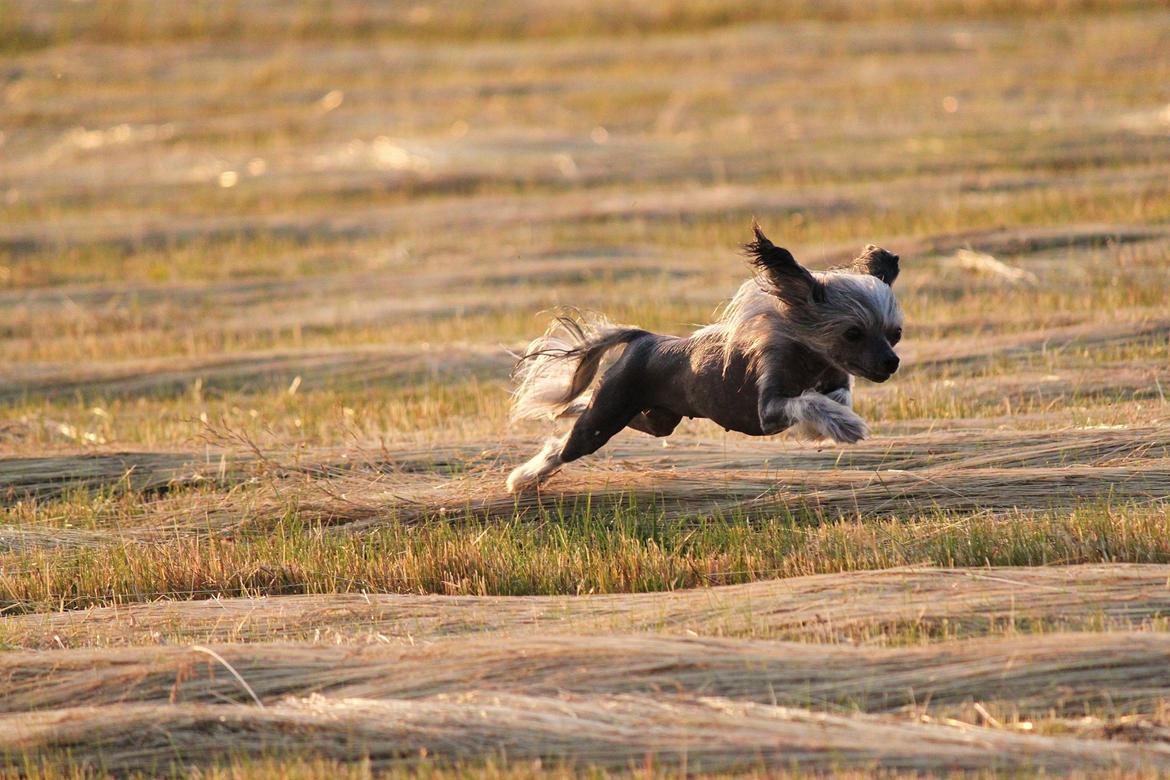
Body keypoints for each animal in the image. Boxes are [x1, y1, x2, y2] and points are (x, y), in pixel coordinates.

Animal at [505, 224, 903, 493]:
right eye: (853, 333)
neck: (808, 357)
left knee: (598, 412)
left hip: (657, 419)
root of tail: (645, 338)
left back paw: (563, 414)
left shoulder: (832, 380)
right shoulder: (768, 409)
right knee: (569, 444)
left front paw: (833, 421)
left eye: (895, 333)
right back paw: (522, 478)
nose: (891, 363)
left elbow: (833, 397)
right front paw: (845, 425)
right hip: (605, 420)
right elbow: (808, 401)